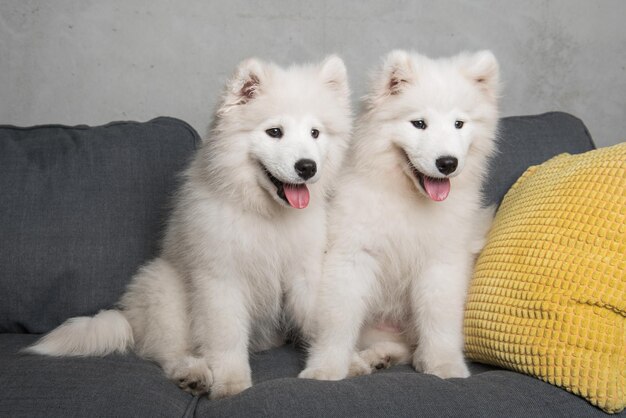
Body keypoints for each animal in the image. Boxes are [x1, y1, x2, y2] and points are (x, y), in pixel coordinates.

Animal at [25, 55, 352, 398]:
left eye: (315, 133)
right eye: (274, 131)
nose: (307, 167)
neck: (264, 213)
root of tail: (129, 316)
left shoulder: (305, 272)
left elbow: (321, 319)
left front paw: (336, 363)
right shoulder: (220, 279)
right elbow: (226, 338)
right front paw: (231, 385)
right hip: (164, 287)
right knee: (169, 351)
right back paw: (192, 373)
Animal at [300, 49, 500, 382]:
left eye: (459, 124)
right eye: (419, 124)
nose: (448, 163)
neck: (408, 198)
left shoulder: (440, 262)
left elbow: (439, 318)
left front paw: (444, 365)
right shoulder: (351, 257)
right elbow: (338, 319)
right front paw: (325, 369)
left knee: (410, 346)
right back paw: (368, 360)